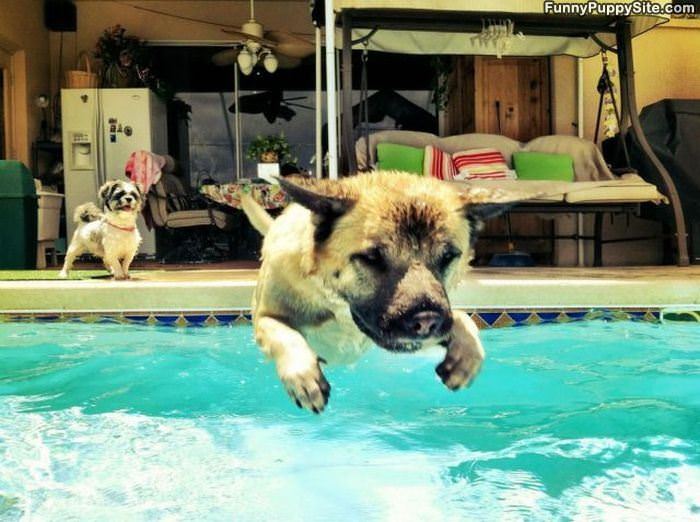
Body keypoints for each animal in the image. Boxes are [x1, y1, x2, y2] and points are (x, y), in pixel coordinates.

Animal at [243, 173, 524, 412]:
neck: (341, 306)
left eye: (448, 256)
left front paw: (465, 357)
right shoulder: (264, 317)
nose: (426, 321)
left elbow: (464, 320)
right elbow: (285, 334)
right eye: (372, 257)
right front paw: (304, 378)